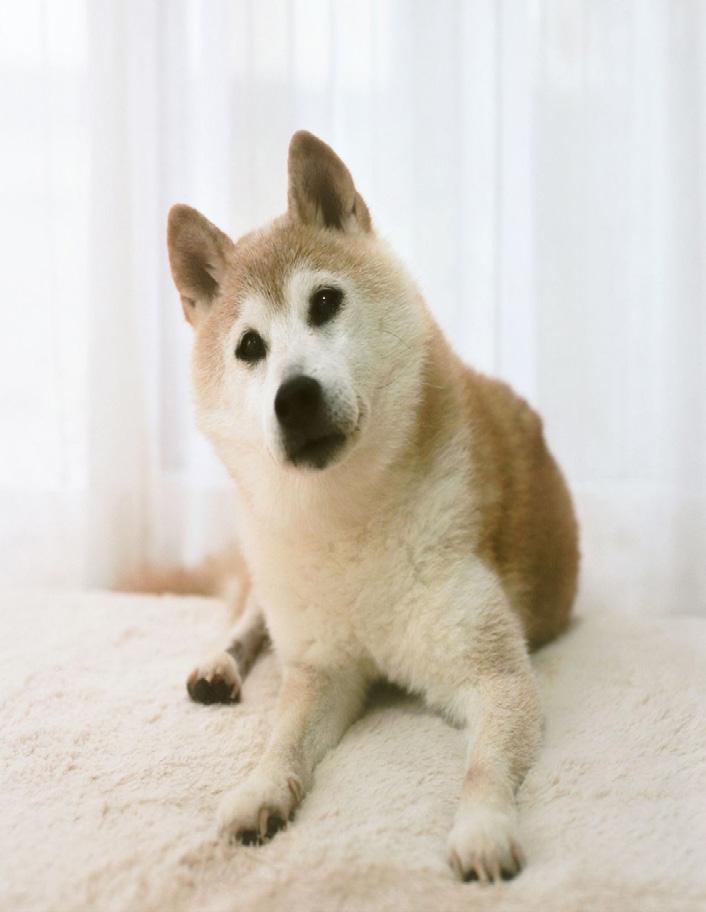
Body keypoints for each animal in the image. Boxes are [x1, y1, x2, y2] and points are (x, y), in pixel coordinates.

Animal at [166, 130, 579, 883]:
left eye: (325, 302)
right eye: (248, 347)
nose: (293, 396)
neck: (346, 518)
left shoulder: (496, 674)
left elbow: (482, 766)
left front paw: (483, 828)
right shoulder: (321, 670)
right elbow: (283, 737)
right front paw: (260, 790)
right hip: (269, 572)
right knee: (251, 614)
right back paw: (218, 665)